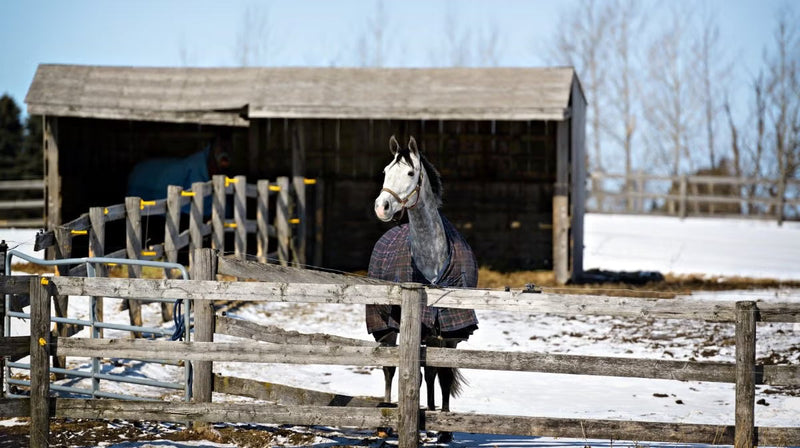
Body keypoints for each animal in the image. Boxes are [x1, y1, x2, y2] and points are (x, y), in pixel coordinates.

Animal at [366, 135, 479, 443]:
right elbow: (408, 374)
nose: (382, 207)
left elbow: (442, 375)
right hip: (386, 327)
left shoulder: (449, 333)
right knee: (389, 368)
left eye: (409, 172)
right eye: (385, 171)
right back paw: (385, 423)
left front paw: (444, 429)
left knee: (430, 373)